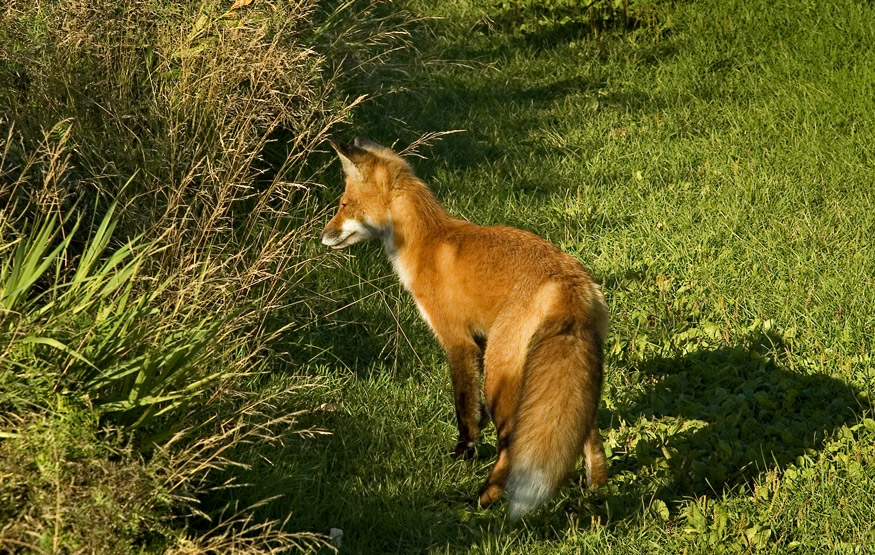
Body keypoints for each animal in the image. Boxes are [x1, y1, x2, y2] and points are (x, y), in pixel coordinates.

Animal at [320, 137, 608, 520]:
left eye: (343, 205)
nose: (322, 236)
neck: (425, 242)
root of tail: (568, 285)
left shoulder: (457, 340)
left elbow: (464, 406)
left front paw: (464, 450)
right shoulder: (478, 339)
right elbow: (475, 410)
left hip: (500, 374)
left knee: (511, 442)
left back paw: (485, 498)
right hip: (573, 378)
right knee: (589, 433)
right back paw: (598, 489)